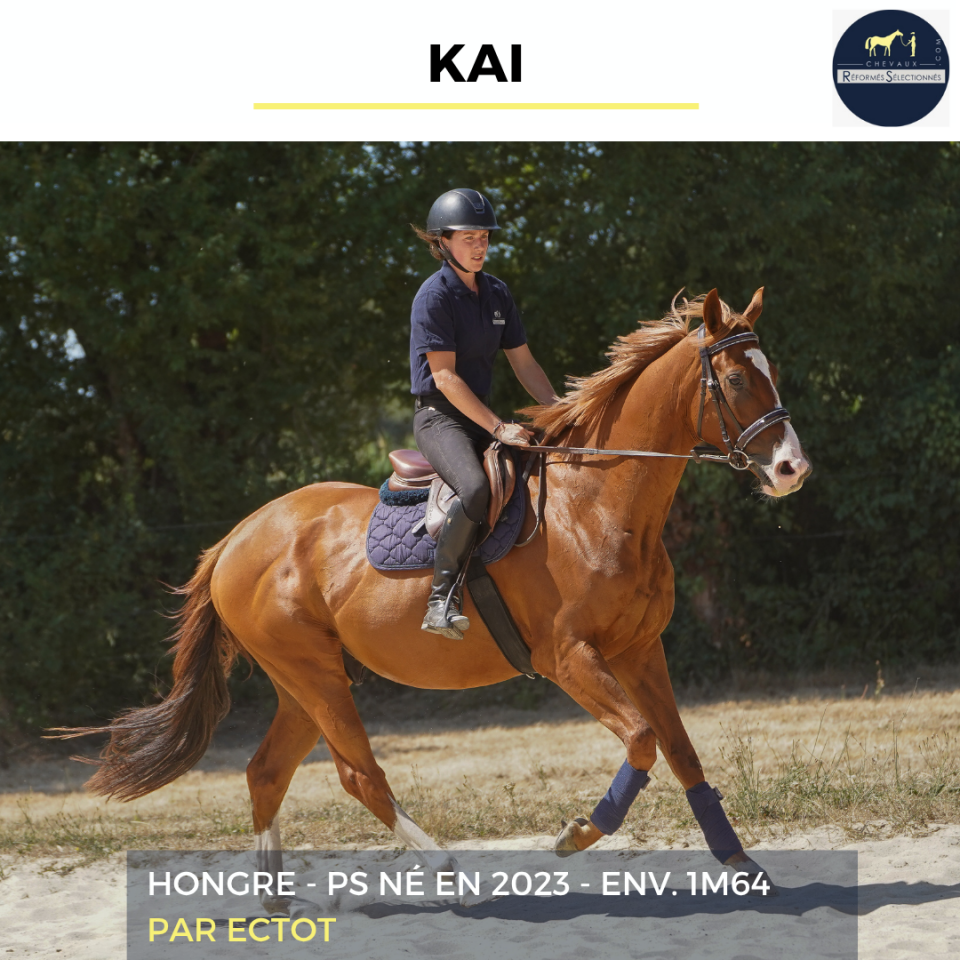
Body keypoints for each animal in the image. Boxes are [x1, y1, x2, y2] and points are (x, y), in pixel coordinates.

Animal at [58, 287, 811, 915]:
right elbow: (644, 742)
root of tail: (237, 537)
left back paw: (273, 902)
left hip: (301, 682)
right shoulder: (571, 658)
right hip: (316, 677)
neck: (596, 504)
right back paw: (447, 872)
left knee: (267, 771)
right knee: (359, 776)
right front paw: (576, 833)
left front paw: (741, 865)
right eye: (736, 379)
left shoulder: (638, 650)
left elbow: (682, 752)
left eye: (772, 371)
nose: (791, 470)